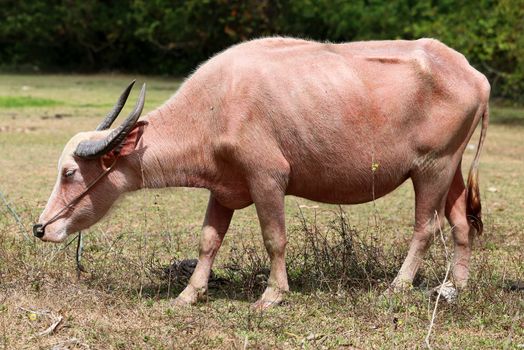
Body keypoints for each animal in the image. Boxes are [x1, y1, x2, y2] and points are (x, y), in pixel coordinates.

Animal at [34, 37, 490, 308]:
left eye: (70, 171)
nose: (41, 228)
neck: (217, 104)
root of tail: (474, 75)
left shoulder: (267, 178)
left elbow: (274, 238)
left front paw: (272, 294)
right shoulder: (222, 188)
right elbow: (208, 241)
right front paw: (189, 293)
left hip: (432, 167)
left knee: (425, 227)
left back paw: (398, 285)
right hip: (450, 168)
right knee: (460, 224)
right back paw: (454, 286)